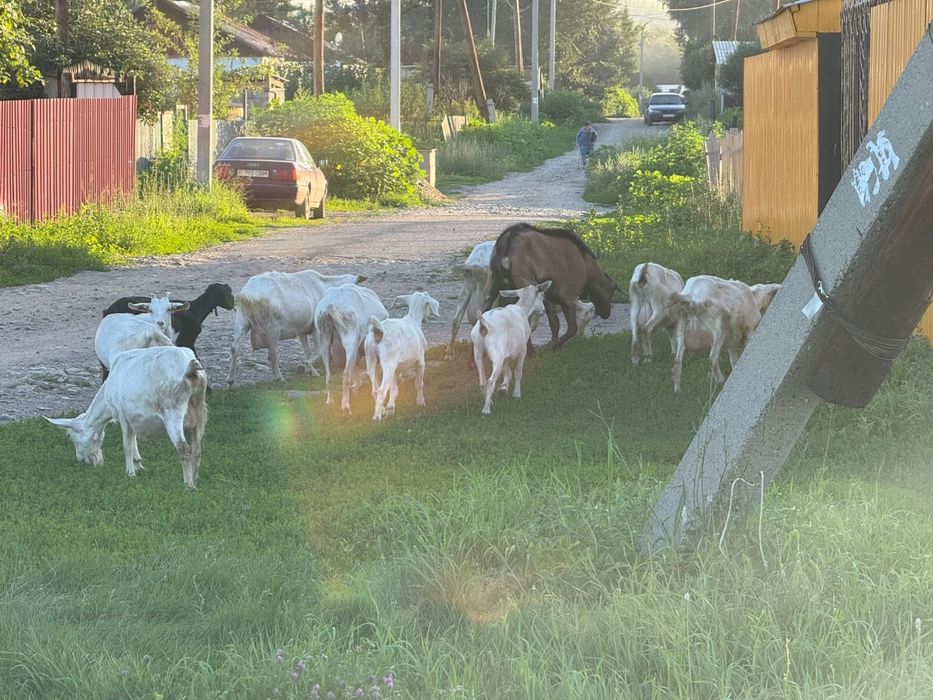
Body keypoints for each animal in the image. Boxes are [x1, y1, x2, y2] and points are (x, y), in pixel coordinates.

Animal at [46, 346, 208, 488]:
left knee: (183, 447)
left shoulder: (122, 414)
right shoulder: (133, 416)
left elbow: (127, 445)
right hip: (200, 411)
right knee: (197, 449)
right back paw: (196, 479)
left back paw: (189, 485)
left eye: (69, 435)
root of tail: (190, 370)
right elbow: (134, 439)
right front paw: (138, 465)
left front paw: (130, 474)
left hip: (172, 410)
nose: (82, 461)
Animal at [226, 270, 364, 385]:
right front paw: (308, 368)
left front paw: (310, 371)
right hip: (272, 329)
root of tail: (250, 292)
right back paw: (279, 378)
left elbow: (307, 351)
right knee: (271, 355)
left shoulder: (302, 330)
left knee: (234, 349)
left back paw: (230, 381)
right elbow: (318, 350)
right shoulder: (316, 328)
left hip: (242, 322)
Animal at [314, 283, 388, 413]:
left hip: (324, 341)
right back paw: (345, 407)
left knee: (328, 375)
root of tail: (329, 307)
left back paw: (330, 402)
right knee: (346, 375)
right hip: (350, 341)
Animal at [365, 292, 440, 421]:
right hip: (388, 364)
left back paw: (381, 410)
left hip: (371, 360)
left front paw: (390, 408)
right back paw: (376, 417)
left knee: (375, 390)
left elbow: (394, 389)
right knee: (381, 390)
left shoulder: (396, 369)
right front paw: (421, 402)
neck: (413, 320)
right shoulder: (421, 360)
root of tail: (379, 332)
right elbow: (419, 383)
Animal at [471, 281, 551, 415]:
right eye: (543, 296)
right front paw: (516, 394)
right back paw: (486, 409)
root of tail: (485, 325)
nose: (543, 311)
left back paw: (489, 400)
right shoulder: (522, 350)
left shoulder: (506, 354)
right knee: (490, 381)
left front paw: (504, 387)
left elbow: (507, 371)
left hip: (477, 349)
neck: (523, 310)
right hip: (496, 354)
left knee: (482, 381)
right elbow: (518, 372)